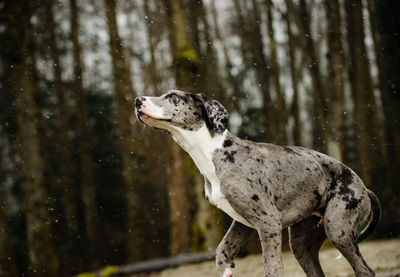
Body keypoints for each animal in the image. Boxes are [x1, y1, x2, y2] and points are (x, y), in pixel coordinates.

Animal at [134, 90, 382, 276]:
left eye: (173, 96)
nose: (138, 100)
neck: (211, 151)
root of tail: (364, 188)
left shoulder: (268, 222)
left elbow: (272, 267)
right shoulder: (242, 223)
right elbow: (222, 250)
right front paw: (226, 270)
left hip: (338, 228)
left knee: (365, 271)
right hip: (302, 245)